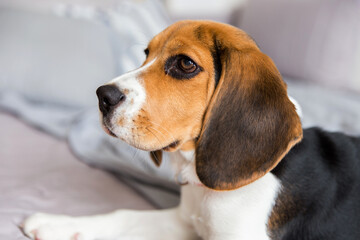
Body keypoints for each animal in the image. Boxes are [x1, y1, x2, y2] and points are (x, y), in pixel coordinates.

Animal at [23, 20, 358, 240]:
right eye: (146, 54)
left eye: (185, 64)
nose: (102, 96)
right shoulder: (183, 221)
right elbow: (124, 215)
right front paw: (58, 224)